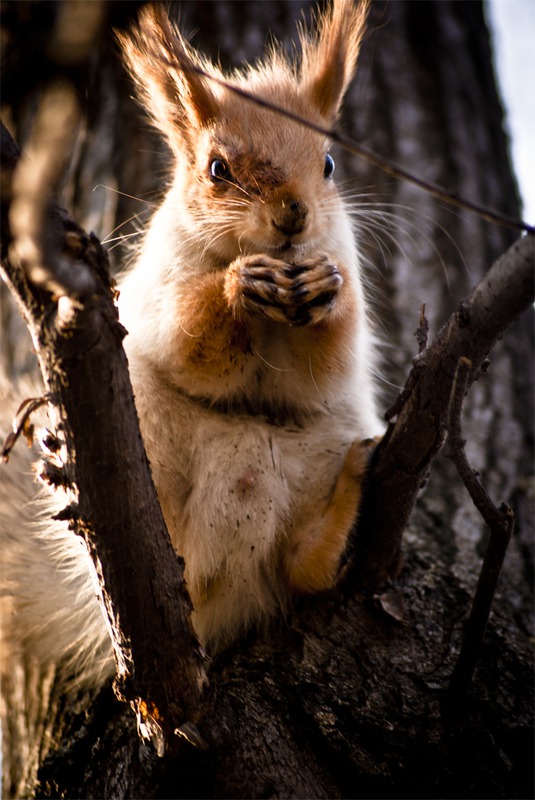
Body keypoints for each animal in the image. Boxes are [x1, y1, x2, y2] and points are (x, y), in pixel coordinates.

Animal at [0, 0, 382, 688]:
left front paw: (325, 291)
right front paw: (237, 286)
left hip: (326, 443)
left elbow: (326, 365)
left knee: (301, 572)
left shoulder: (343, 263)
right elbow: (190, 344)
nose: (293, 215)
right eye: (217, 169)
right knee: (204, 567)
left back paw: (339, 512)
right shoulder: (158, 287)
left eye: (330, 164)